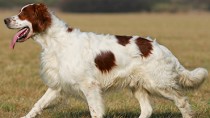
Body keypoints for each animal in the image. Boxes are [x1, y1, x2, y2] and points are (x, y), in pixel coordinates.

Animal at [4, 3, 208, 118]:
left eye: (23, 14)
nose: (5, 19)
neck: (55, 41)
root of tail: (160, 47)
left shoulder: (89, 86)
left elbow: (95, 112)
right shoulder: (58, 85)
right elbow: (37, 105)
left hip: (158, 84)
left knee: (182, 101)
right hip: (139, 86)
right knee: (147, 110)